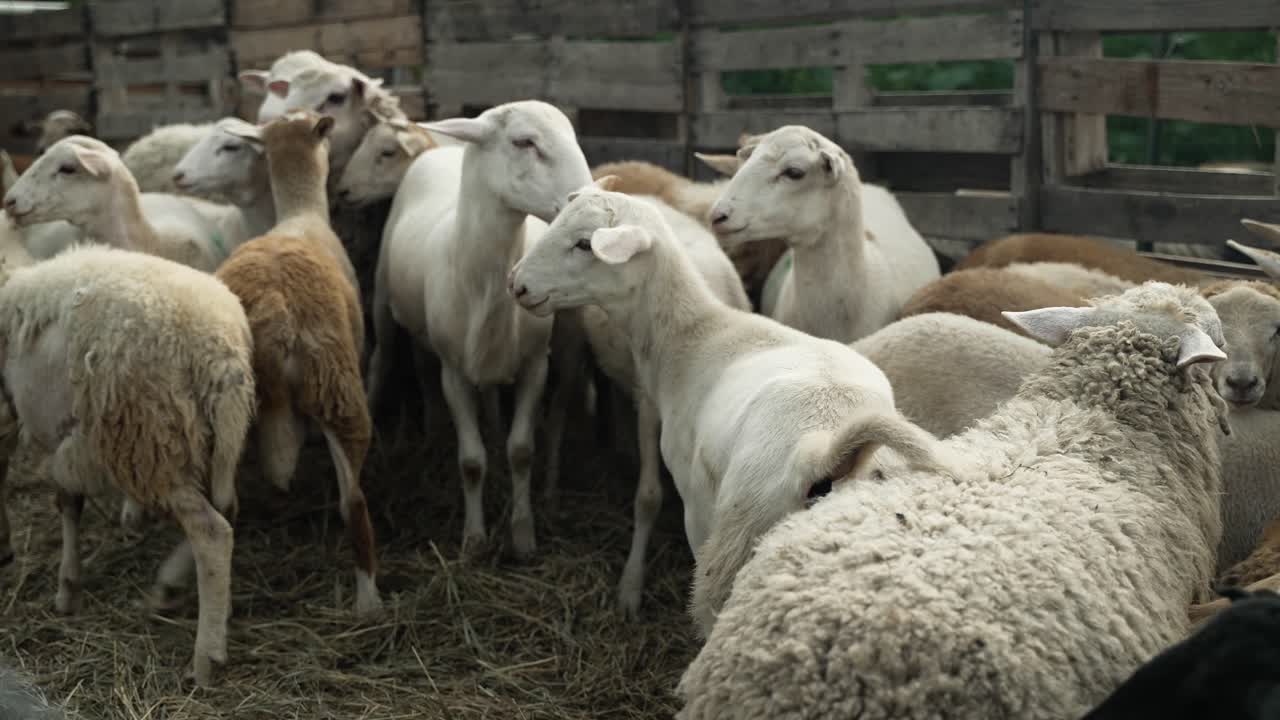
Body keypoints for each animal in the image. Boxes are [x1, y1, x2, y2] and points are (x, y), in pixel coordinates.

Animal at [0, 244, 255, 686]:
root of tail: (219, 354)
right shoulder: (71, 433)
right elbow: (70, 501)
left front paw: (64, 587)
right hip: (204, 448)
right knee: (228, 512)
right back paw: (187, 596)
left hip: (148, 442)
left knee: (213, 533)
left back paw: (205, 657)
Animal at [213, 111, 381, 615]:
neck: (299, 214)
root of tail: (277, 309)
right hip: (337, 386)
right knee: (354, 504)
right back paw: (370, 604)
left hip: (230, 413)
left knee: (225, 507)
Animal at [412, 101, 591, 557]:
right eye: (524, 142)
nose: (588, 200)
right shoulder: (452, 372)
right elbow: (472, 461)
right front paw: (474, 541)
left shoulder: (535, 365)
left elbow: (522, 450)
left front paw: (524, 536)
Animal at [508, 179, 945, 635]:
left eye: (583, 244)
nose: (517, 283)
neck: (694, 336)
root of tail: (829, 451)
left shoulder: (696, 502)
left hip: (735, 537)